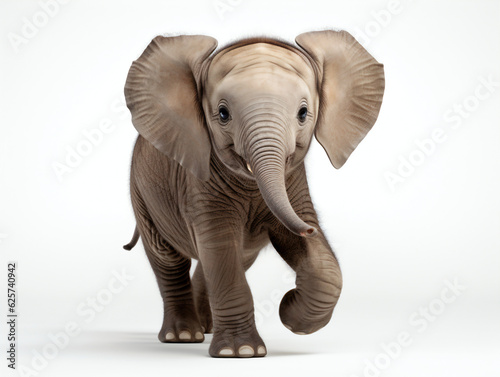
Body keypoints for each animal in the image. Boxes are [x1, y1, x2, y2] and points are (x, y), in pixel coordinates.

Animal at [123, 28, 384, 356]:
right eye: (222, 114)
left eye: (303, 113)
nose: (312, 229)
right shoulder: (200, 186)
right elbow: (221, 251)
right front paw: (241, 352)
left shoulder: (293, 184)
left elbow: (318, 263)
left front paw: (291, 315)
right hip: (140, 192)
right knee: (168, 258)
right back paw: (182, 336)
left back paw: (206, 329)